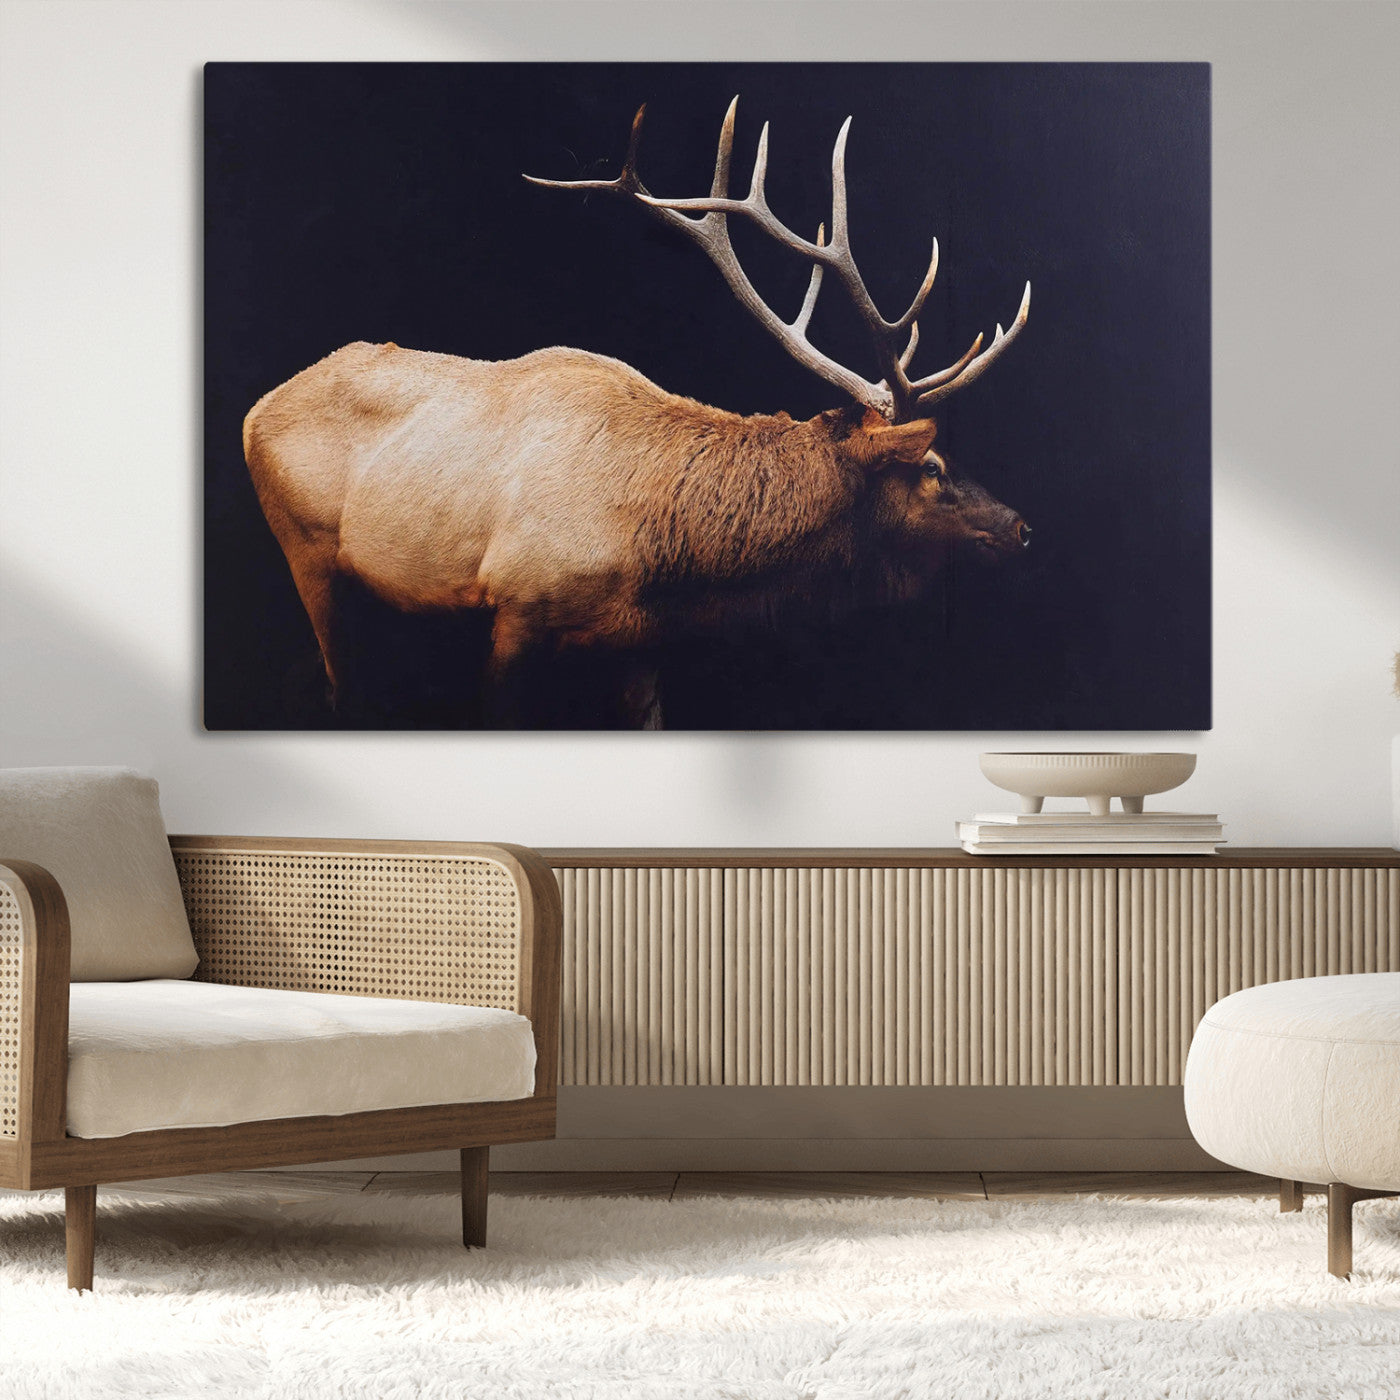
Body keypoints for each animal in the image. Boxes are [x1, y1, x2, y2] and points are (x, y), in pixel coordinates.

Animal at [243, 98, 1032, 727]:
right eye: (932, 465)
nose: (1021, 527)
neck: (662, 554)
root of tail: (255, 409)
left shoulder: (641, 644)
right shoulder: (515, 607)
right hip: (305, 549)